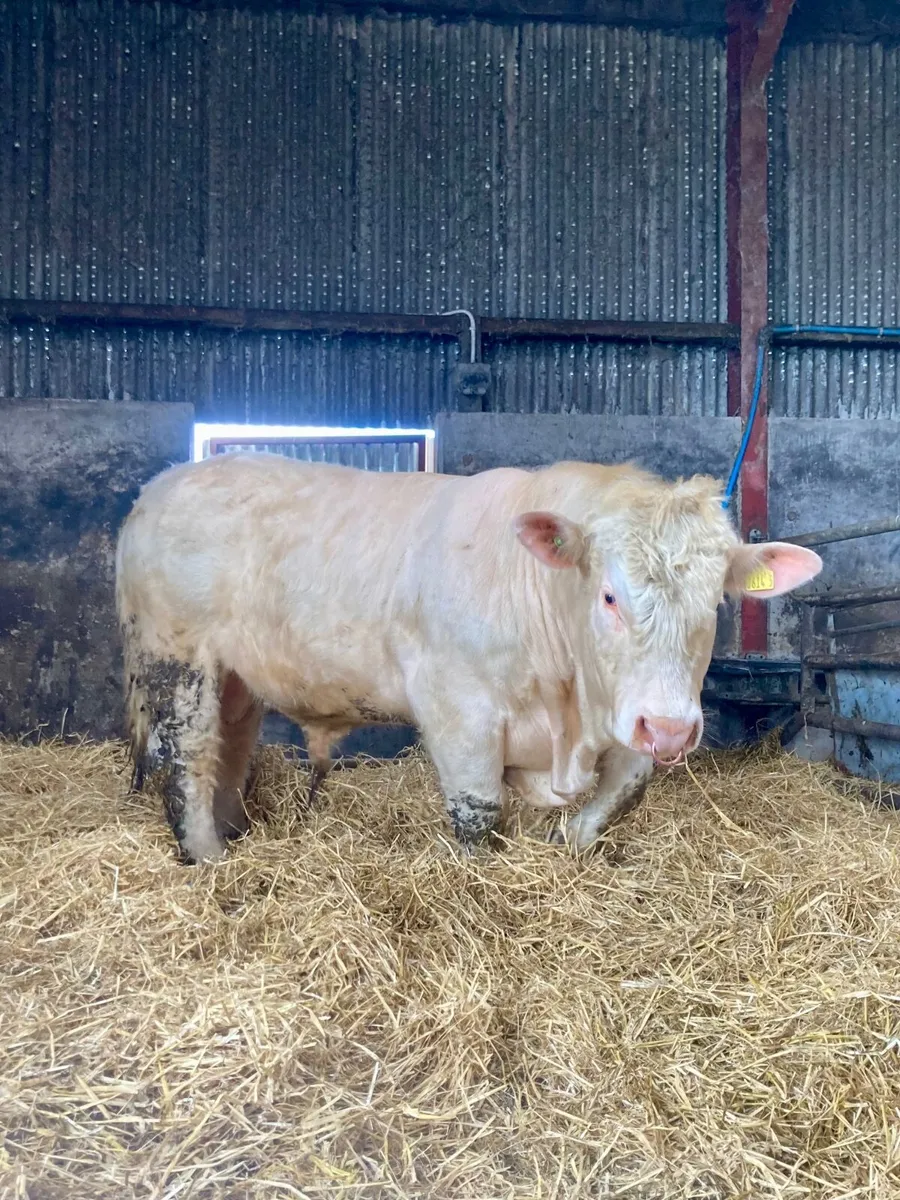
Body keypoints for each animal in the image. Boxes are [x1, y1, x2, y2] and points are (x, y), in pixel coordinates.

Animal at [115, 453, 822, 863]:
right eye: (609, 595)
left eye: (717, 602)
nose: (673, 729)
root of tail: (154, 492)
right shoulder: (457, 707)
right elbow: (477, 812)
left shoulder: (625, 713)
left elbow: (624, 791)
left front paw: (566, 843)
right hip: (178, 658)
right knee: (187, 756)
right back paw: (209, 858)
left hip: (234, 675)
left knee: (229, 747)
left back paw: (234, 831)